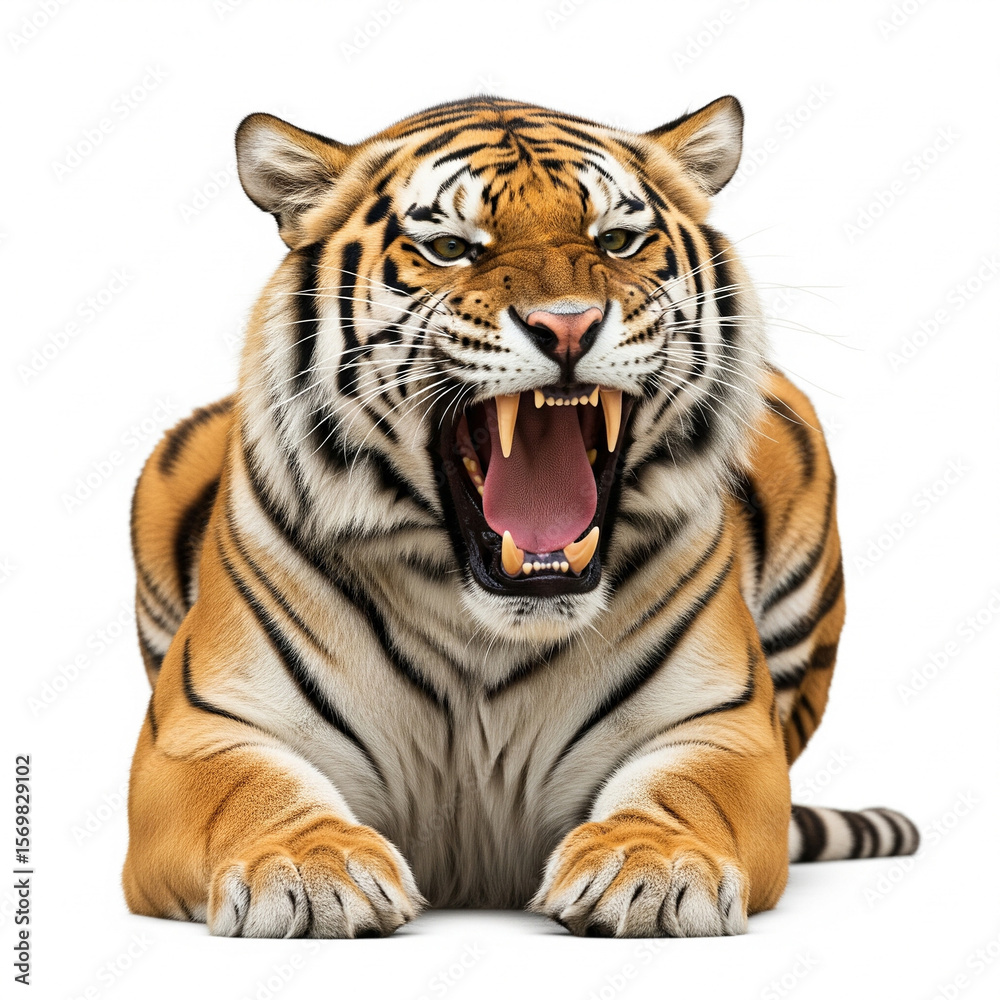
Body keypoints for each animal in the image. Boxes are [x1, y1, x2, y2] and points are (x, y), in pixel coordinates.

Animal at [123, 95, 919, 939]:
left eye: (616, 240)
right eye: (448, 248)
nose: (568, 324)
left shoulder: (725, 724)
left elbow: (685, 792)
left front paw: (652, 866)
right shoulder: (202, 730)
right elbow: (253, 793)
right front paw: (307, 867)